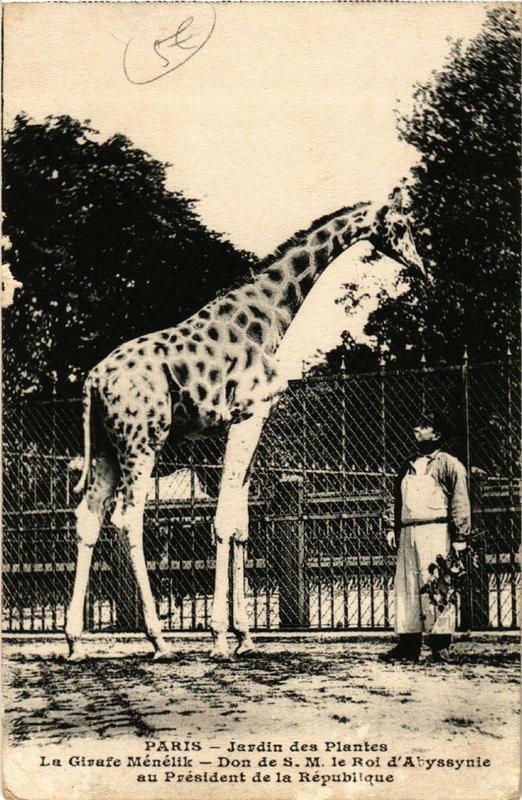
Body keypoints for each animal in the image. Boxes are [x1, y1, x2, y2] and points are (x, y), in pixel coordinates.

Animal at [65, 189, 424, 661]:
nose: (420, 265)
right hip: (141, 440)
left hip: (108, 446)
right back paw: (159, 640)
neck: (272, 315)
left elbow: (240, 523)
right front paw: (219, 638)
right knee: (127, 517)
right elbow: (223, 522)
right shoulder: (248, 415)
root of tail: (92, 380)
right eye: (402, 225)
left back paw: (75, 641)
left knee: (88, 517)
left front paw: (245, 636)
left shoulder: (248, 423)